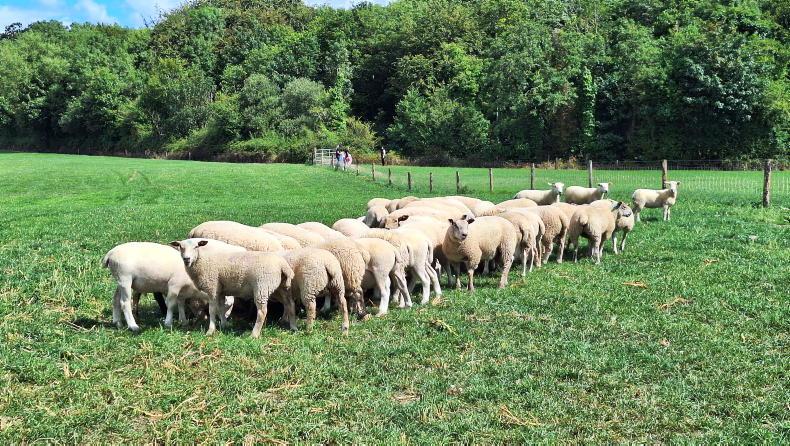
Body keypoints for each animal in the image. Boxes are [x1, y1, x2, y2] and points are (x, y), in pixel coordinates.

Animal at [102, 240, 244, 332]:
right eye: (228, 304)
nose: (226, 320)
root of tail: (110, 254)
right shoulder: (173, 285)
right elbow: (171, 304)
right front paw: (168, 323)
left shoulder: (182, 291)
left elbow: (180, 303)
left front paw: (183, 321)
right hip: (125, 278)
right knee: (125, 302)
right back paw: (133, 326)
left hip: (120, 280)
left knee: (115, 299)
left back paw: (118, 322)